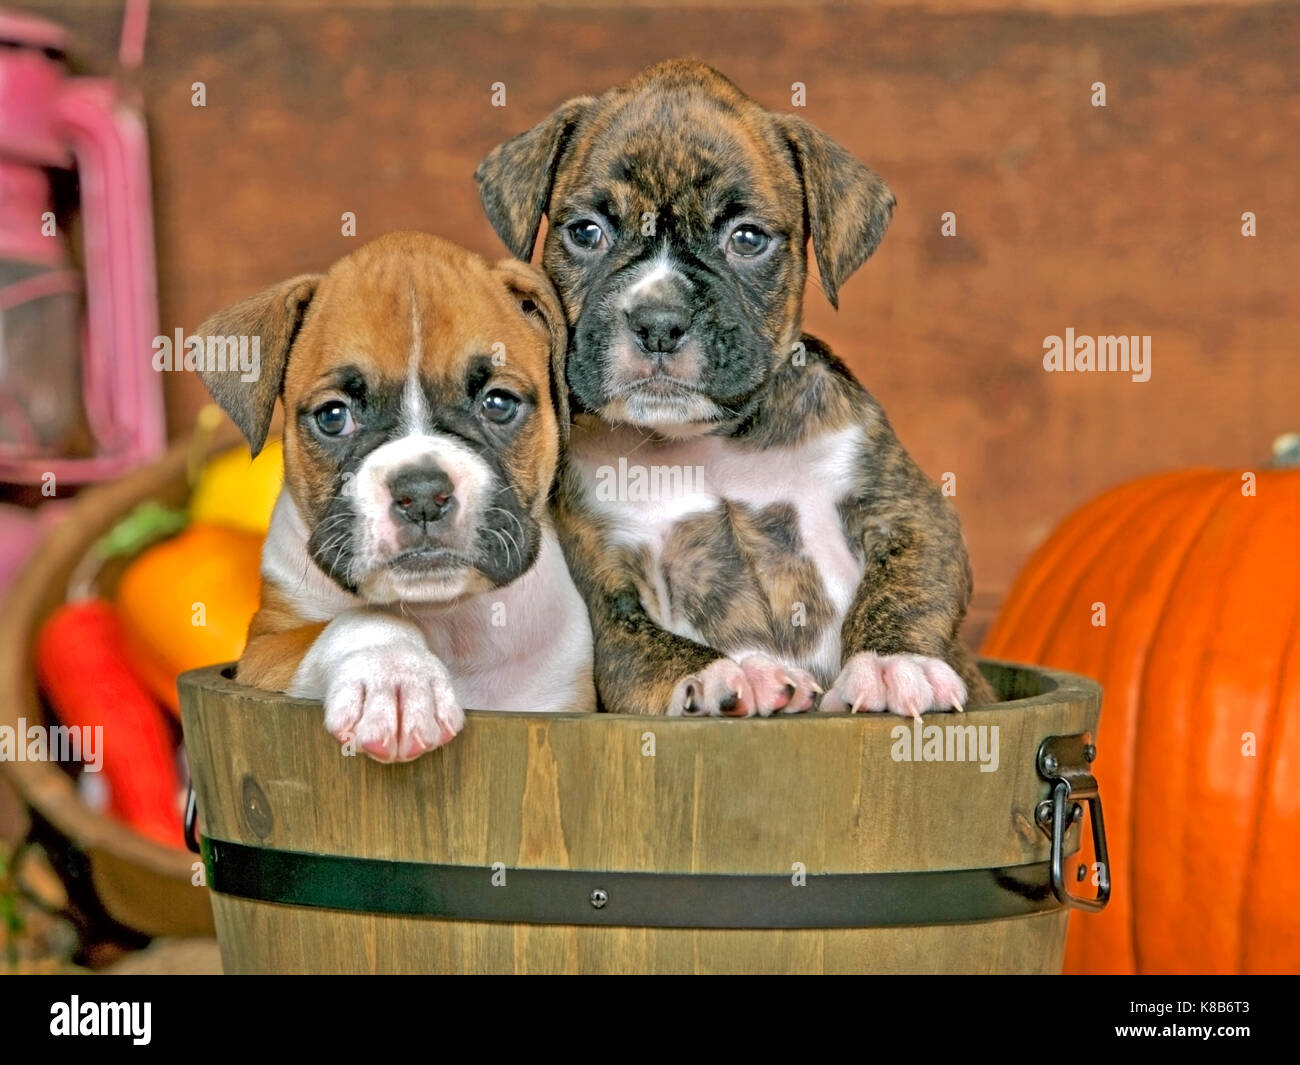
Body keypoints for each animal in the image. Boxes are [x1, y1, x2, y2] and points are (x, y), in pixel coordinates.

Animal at [195, 235, 595, 764]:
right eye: (333, 416)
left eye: (498, 403)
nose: (422, 494)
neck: (444, 619)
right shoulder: (260, 654)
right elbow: (358, 620)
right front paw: (393, 678)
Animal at [478, 62, 993, 723]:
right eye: (586, 232)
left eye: (747, 239)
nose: (659, 320)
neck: (707, 445)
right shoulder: (607, 596)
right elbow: (653, 647)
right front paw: (731, 672)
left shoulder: (905, 509)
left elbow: (904, 587)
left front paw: (890, 663)